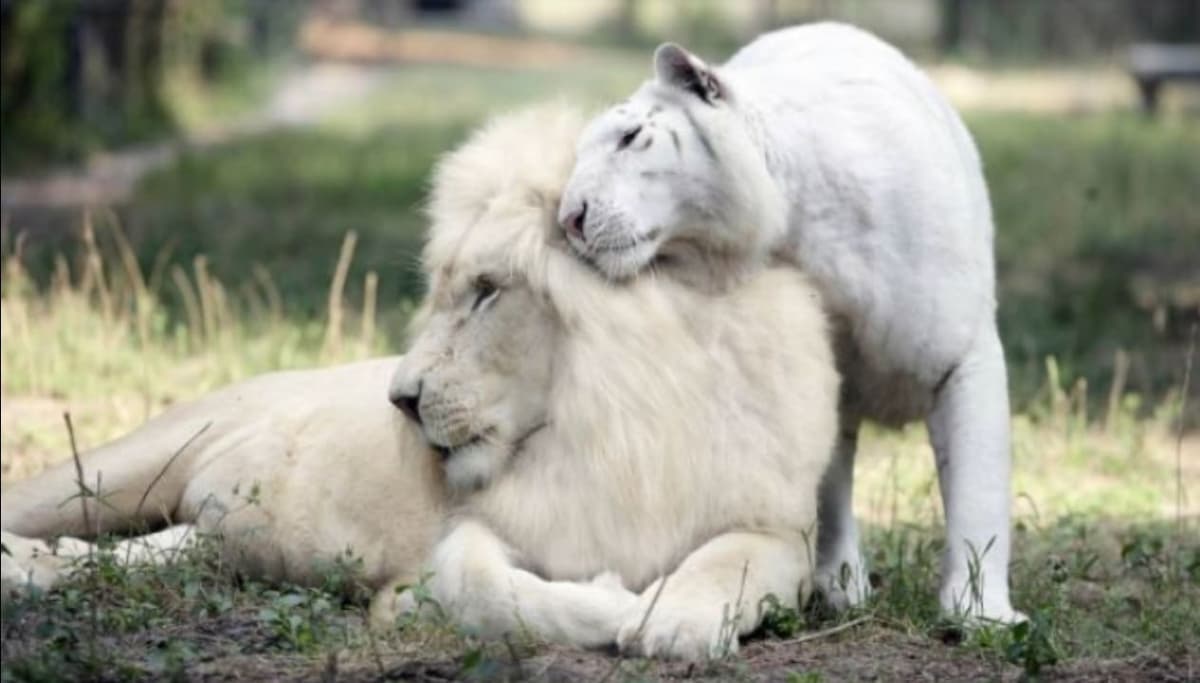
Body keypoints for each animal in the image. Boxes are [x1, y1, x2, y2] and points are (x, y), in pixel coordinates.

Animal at [2, 102, 839, 659]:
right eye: (444, 291)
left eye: (487, 291)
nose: (400, 401)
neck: (613, 423)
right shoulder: (460, 547)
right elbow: (490, 592)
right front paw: (615, 600)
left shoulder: (778, 525)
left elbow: (729, 559)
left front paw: (676, 618)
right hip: (117, 464)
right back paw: (20, 563)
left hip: (206, 533)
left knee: (135, 551)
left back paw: (43, 566)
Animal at [556, 22, 1022, 623]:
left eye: (630, 136)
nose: (568, 219)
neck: (799, 221)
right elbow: (827, 486)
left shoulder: (963, 355)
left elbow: (978, 489)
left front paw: (981, 613)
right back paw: (841, 586)